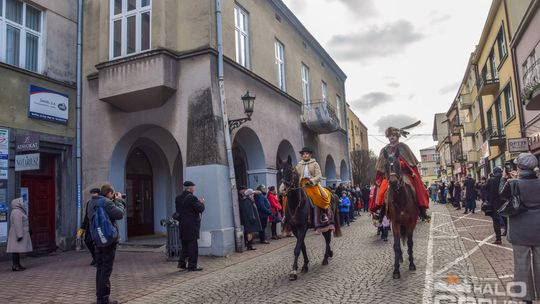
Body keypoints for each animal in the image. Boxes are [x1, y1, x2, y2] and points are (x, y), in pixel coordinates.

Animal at [382, 148, 420, 280]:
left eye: (398, 164)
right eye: (386, 165)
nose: (393, 183)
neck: (401, 199)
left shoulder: (411, 223)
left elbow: (410, 243)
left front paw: (412, 264)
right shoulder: (395, 223)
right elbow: (397, 246)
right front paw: (396, 270)